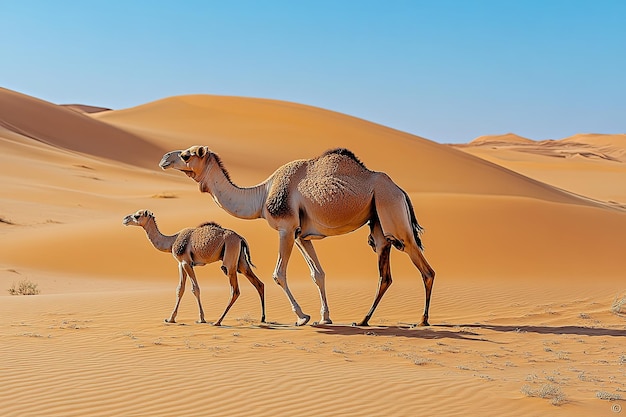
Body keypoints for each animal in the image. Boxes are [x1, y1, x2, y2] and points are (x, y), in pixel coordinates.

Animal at [122, 208, 264, 324]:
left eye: (137, 216)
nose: (125, 219)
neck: (172, 241)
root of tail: (240, 238)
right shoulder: (180, 264)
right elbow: (180, 289)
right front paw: (170, 319)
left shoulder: (187, 262)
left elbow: (195, 289)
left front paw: (201, 319)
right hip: (241, 262)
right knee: (258, 283)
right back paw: (263, 318)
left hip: (229, 261)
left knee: (235, 290)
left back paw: (218, 321)